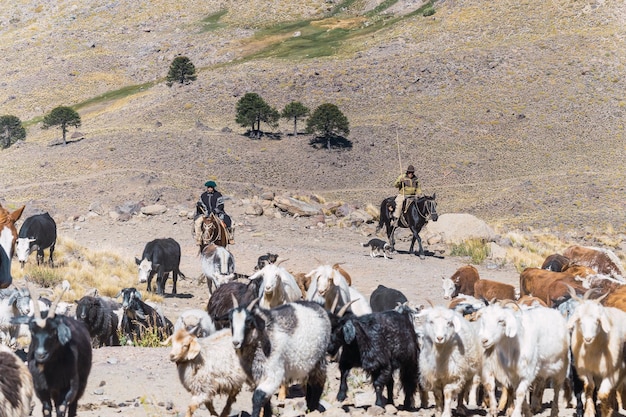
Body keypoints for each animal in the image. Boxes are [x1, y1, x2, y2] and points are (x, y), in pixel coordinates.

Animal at [13, 286, 91, 416]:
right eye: (31, 330)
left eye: (54, 331)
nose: (40, 354)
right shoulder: (40, 387)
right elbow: (46, 408)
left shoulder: (69, 385)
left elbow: (61, 408)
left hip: (81, 381)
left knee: (73, 404)